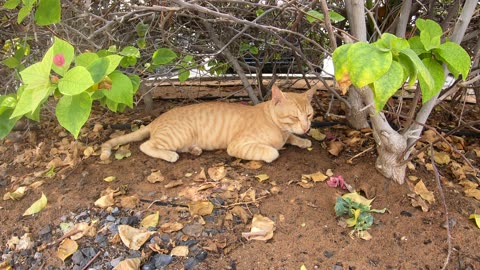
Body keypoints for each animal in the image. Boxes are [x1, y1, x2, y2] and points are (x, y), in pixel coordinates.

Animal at [100, 85, 316, 162]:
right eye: (294, 117)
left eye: (309, 115)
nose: (306, 127)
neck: (279, 129)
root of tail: (156, 120)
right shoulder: (237, 145)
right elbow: (273, 151)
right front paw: (278, 147)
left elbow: (291, 138)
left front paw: (302, 140)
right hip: (178, 135)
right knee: (146, 145)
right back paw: (170, 155)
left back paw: (194, 150)